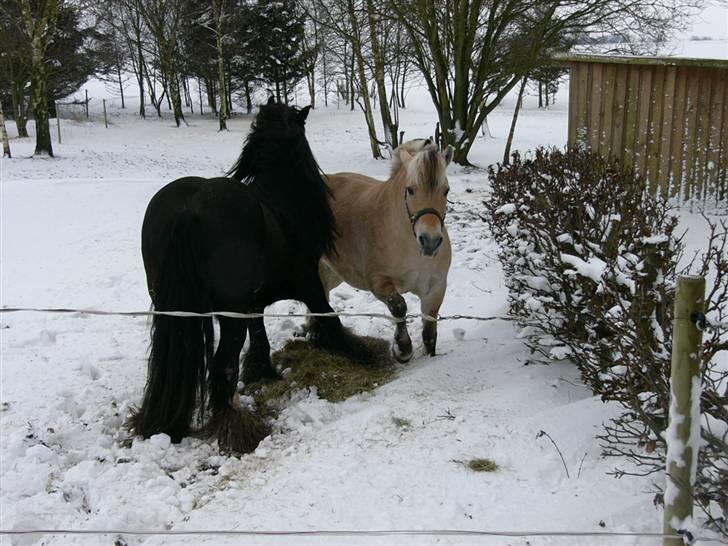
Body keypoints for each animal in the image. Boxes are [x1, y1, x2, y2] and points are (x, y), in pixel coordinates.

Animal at [132, 100, 364, 452]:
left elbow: (260, 336)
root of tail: (190, 208)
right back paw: (238, 428)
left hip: (174, 307)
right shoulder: (308, 283)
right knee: (221, 367)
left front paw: (262, 371)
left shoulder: (253, 303)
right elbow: (330, 318)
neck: (280, 202)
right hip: (230, 317)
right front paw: (363, 352)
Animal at [320, 140, 452, 362]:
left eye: (446, 191)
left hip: (331, 271)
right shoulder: (378, 281)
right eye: (410, 190)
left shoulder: (435, 288)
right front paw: (402, 349)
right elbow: (398, 306)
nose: (430, 241)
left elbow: (429, 332)